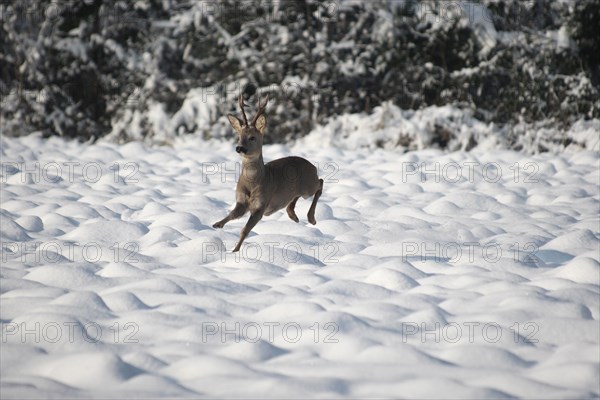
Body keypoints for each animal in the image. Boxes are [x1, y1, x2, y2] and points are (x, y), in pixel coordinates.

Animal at [212, 95, 324, 252]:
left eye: (252, 137)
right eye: (238, 136)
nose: (239, 148)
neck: (254, 182)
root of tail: (312, 166)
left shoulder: (261, 204)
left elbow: (245, 230)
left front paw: (235, 251)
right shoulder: (241, 201)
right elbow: (232, 214)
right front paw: (217, 224)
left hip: (308, 187)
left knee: (320, 182)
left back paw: (311, 218)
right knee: (296, 196)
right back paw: (293, 216)